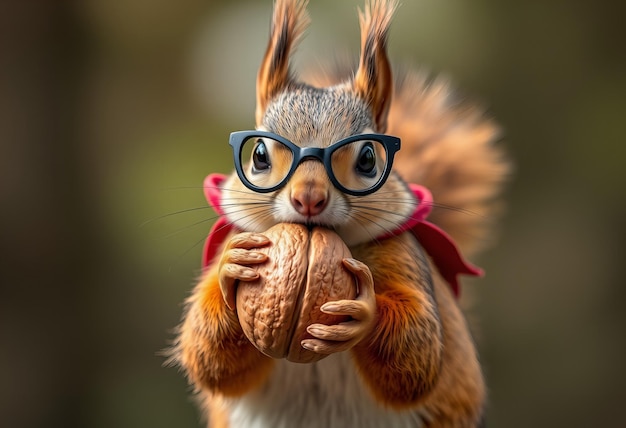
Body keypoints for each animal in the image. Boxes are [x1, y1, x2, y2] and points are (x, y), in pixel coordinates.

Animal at [169, 0, 508, 428]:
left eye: (368, 159)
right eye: (259, 154)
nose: (309, 198)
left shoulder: (404, 257)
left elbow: (419, 354)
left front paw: (364, 312)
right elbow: (210, 360)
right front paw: (232, 272)